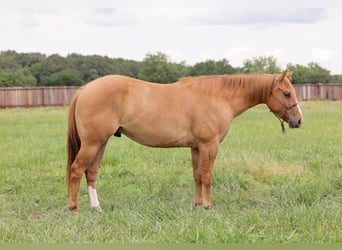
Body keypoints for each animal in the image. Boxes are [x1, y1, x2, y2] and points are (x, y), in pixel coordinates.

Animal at [65, 70, 304, 213]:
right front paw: (208, 206)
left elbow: (197, 175)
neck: (218, 97)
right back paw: (74, 209)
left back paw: (96, 207)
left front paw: (197, 204)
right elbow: (207, 176)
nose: (299, 121)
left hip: (101, 143)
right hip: (92, 143)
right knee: (76, 170)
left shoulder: (196, 147)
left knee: (91, 172)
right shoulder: (209, 145)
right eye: (286, 93)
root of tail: (85, 90)